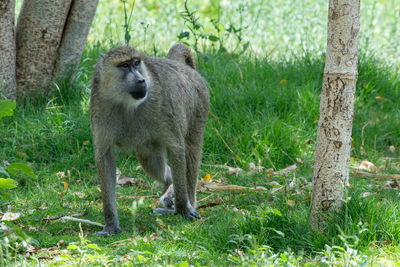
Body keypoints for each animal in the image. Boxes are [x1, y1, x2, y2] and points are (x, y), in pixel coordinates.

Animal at [90, 44, 209, 237]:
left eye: (136, 63)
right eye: (124, 65)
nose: (141, 80)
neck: (125, 103)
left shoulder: (163, 108)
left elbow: (177, 149)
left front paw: (183, 209)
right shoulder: (99, 106)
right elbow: (105, 158)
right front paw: (111, 225)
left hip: (200, 104)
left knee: (190, 152)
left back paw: (185, 202)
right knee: (150, 160)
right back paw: (169, 185)